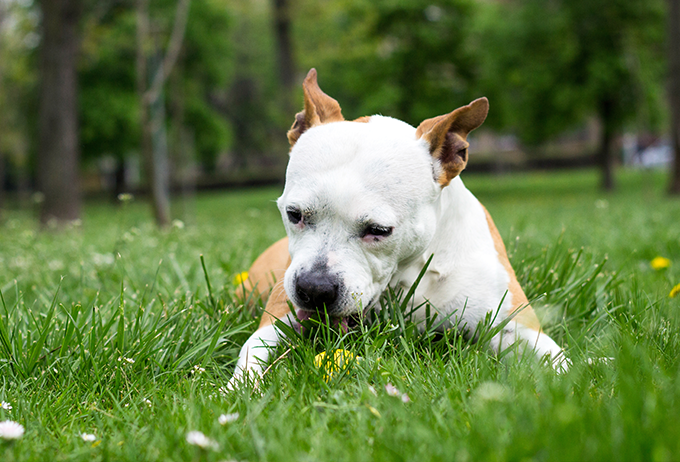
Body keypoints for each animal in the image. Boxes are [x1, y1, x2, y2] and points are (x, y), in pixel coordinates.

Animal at [228, 68, 564, 386]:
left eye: (378, 230)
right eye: (294, 214)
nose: (313, 288)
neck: (409, 272)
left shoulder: (516, 327)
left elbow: (560, 365)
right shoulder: (276, 320)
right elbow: (251, 355)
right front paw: (236, 390)